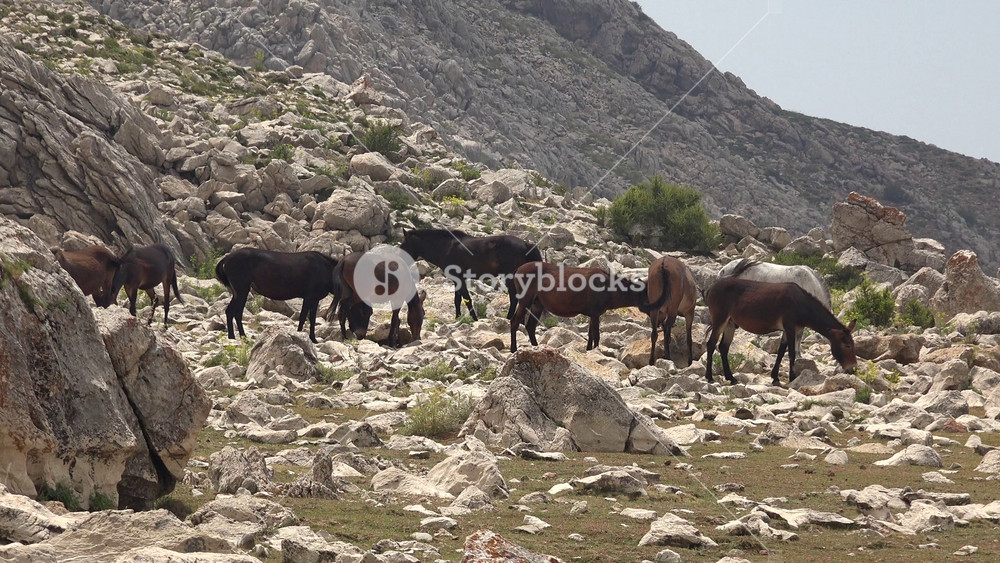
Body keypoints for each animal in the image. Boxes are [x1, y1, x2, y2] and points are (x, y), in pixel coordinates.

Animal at [399, 229, 541, 320]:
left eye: (404, 244)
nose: (400, 259)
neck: (446, 248)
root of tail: (526, 244)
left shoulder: (459, 278)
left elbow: (467, 299)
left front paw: (474, 319)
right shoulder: (456, 280)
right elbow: (457, 300)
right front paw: (457, 317)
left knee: (514, 298)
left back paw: (509, 318)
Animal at [510, 261, 647, 352]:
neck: (610, 288)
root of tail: (517, 270)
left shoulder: (593, 314)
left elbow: (590, 335)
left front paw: (589, 350)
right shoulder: (595, 313)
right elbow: (596, 335)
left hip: (537, 304)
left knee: (530, 326)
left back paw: (535, 347)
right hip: (525, 300)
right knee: (514, 322)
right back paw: (513, 349)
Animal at [704, 277, 857, 385]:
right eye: (847, 345)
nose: (853, 369)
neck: (802, 305)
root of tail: (711, 287)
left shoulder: (788, 330)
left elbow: (781, 352)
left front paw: (775, 377)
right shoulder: (790, 327)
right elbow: (791, 353)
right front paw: (792, 378)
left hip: (730, 324)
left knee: (723, 347)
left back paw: (731, 378)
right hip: (720, 319)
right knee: (711, 344)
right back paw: (710, 377)